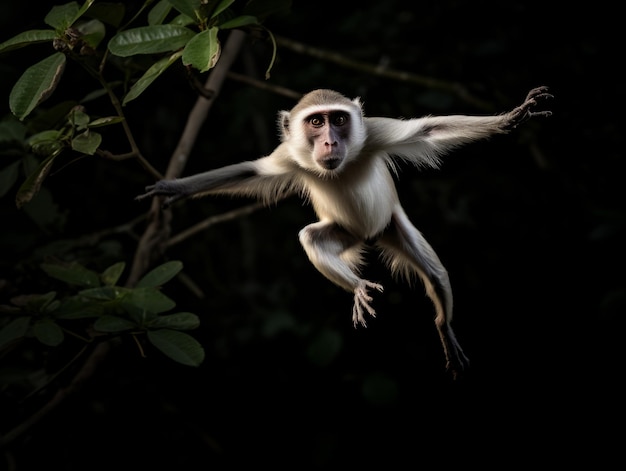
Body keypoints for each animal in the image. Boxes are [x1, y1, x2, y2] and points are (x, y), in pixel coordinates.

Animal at [136, 85, 552, 380]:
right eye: (316, 123)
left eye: (338, 120)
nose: (330, 141)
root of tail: (370, 235)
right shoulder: (290, 155)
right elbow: (250, 172)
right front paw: (175, 188)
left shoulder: (375, 131)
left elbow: (429, 129)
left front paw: (512, 118)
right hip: (348, 233)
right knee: (311, 237)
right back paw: (357, 287)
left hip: (391, 224)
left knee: (435, 275)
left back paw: (442, 323)